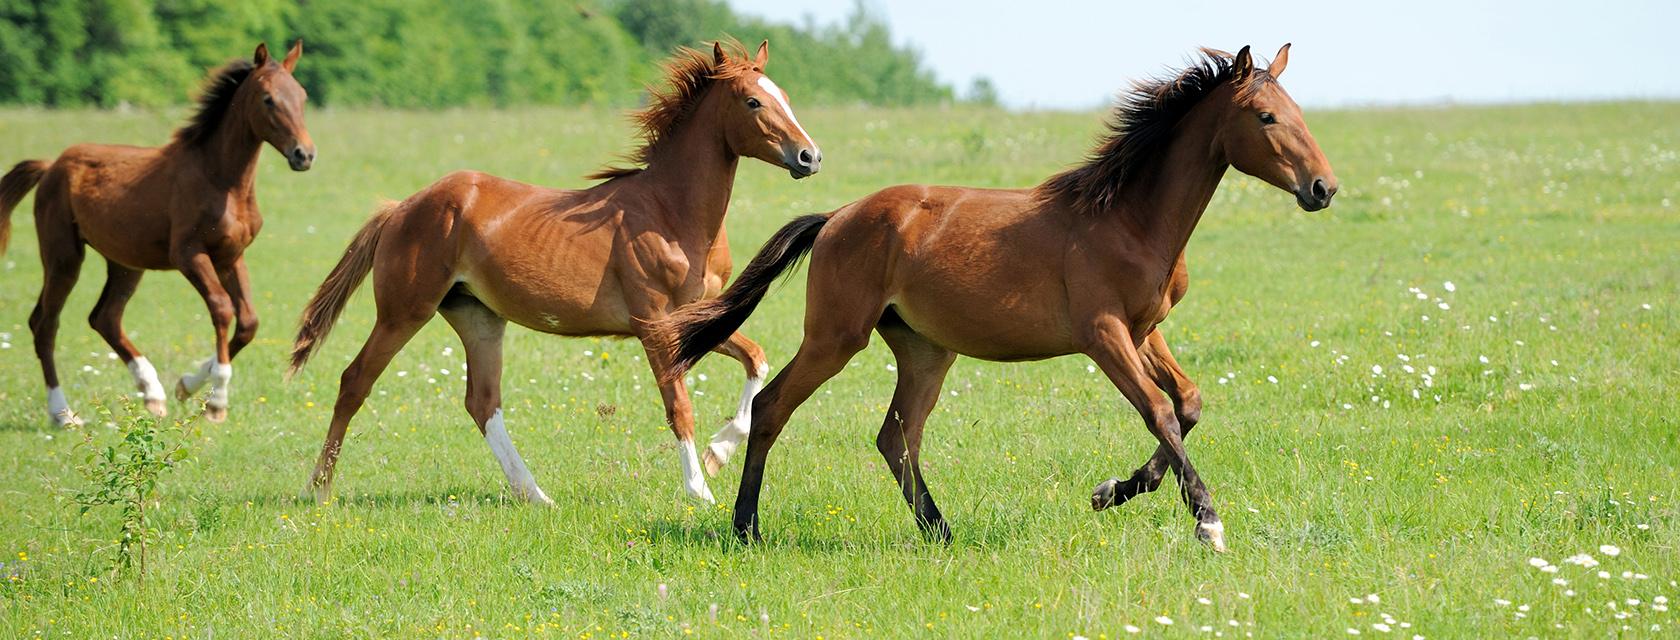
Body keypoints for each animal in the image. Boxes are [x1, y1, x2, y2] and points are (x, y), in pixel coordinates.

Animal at [0, 41, 314, 427]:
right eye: (268, 99)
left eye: (302, 96)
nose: (304, 154)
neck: (221, 180)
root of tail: (50, 167)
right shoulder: (189, 254)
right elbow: (222, 309)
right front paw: (216, 402)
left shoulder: (231, 256)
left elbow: (248, 322)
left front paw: (187, 385)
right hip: (63, 256)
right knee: (45, 323)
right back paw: (63, 414)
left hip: (125, 263)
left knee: (104, 318)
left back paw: (153, 393)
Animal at [287, 41, 821, 506]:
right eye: (753, 101)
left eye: (785, 96)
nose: (809, 156)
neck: (671, 212)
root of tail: (402, 207)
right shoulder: (654, 324)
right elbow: (679, 406)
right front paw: (699, 490)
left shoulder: (696, 317)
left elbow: (756, 360)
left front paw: (717, 454)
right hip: (403, 312)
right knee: (355, 381)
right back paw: (318, 489)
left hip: (478, 318)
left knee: (482, 402)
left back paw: (536, 495)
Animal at [651, 45, 1337, 551]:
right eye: (1266, 117)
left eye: (1296, 108)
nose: (1323, 187)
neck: (1130, 219)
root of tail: (838, 216)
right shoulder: (1103, 335)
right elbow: (1160, 412)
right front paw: (1208, 522)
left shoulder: (1145, 330)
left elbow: (1188, 403)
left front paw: (1112, 490)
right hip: (836, 337)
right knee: (774, 408)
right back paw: (746, 527)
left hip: (925, 351)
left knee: (896, 437)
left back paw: (941, 532)